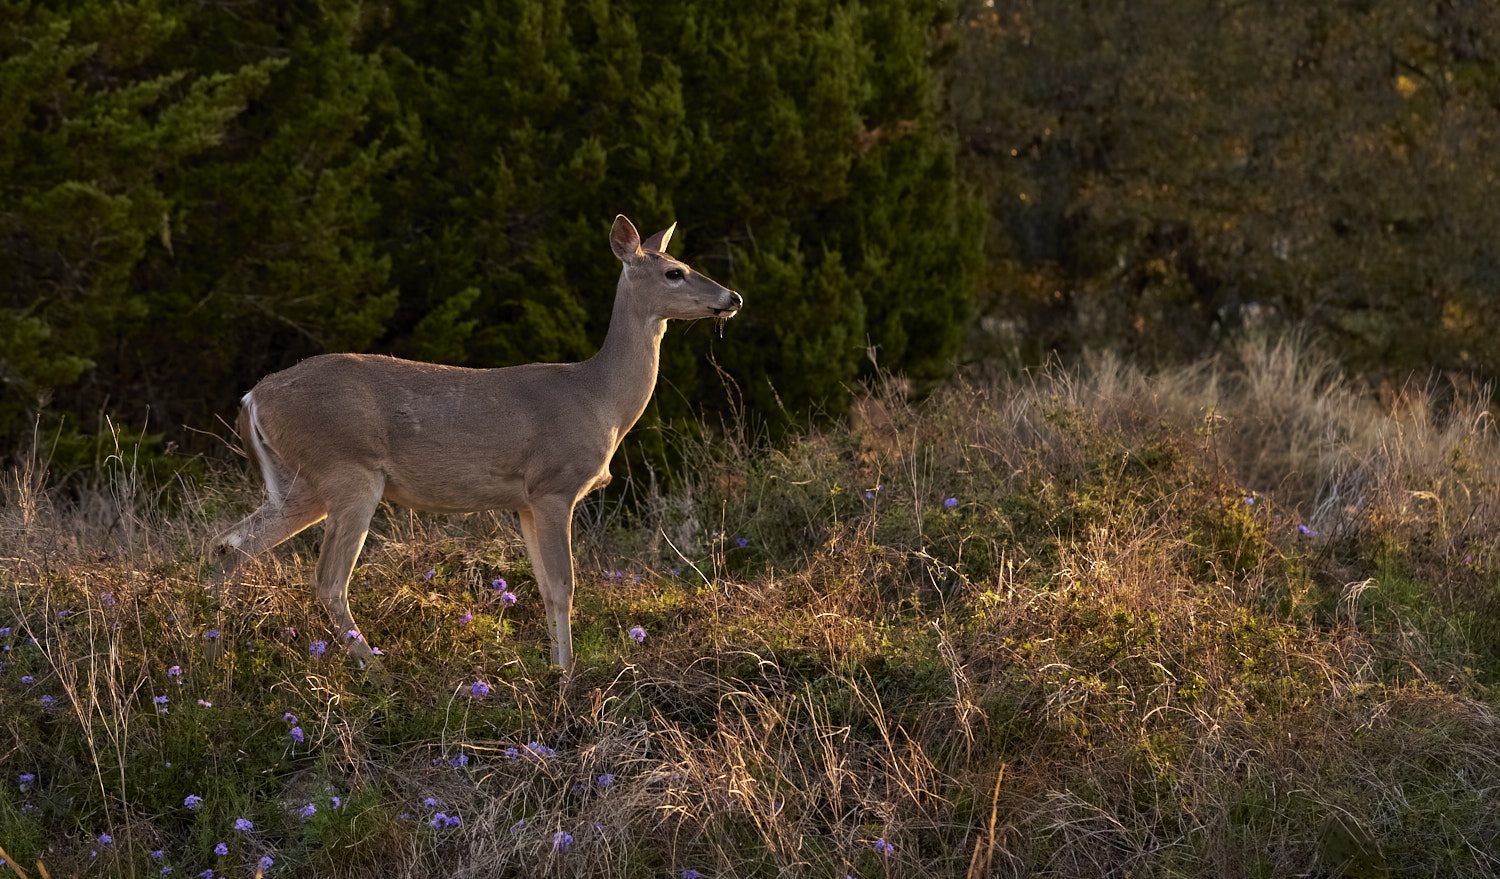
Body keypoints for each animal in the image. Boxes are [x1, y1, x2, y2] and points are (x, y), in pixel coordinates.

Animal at [213, 211, 744, 672]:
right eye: (675, 272)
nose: (733, 297)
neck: (599, 398)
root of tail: (253, 397)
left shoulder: (525, 501)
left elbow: (545, 587)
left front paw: (555, 667)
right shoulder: (554, 485)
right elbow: (565, 585)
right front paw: (568, 676)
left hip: (298, 483)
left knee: (230, 544)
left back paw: (216, 647)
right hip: (347, 470)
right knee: (326, 580)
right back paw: (378, 673)